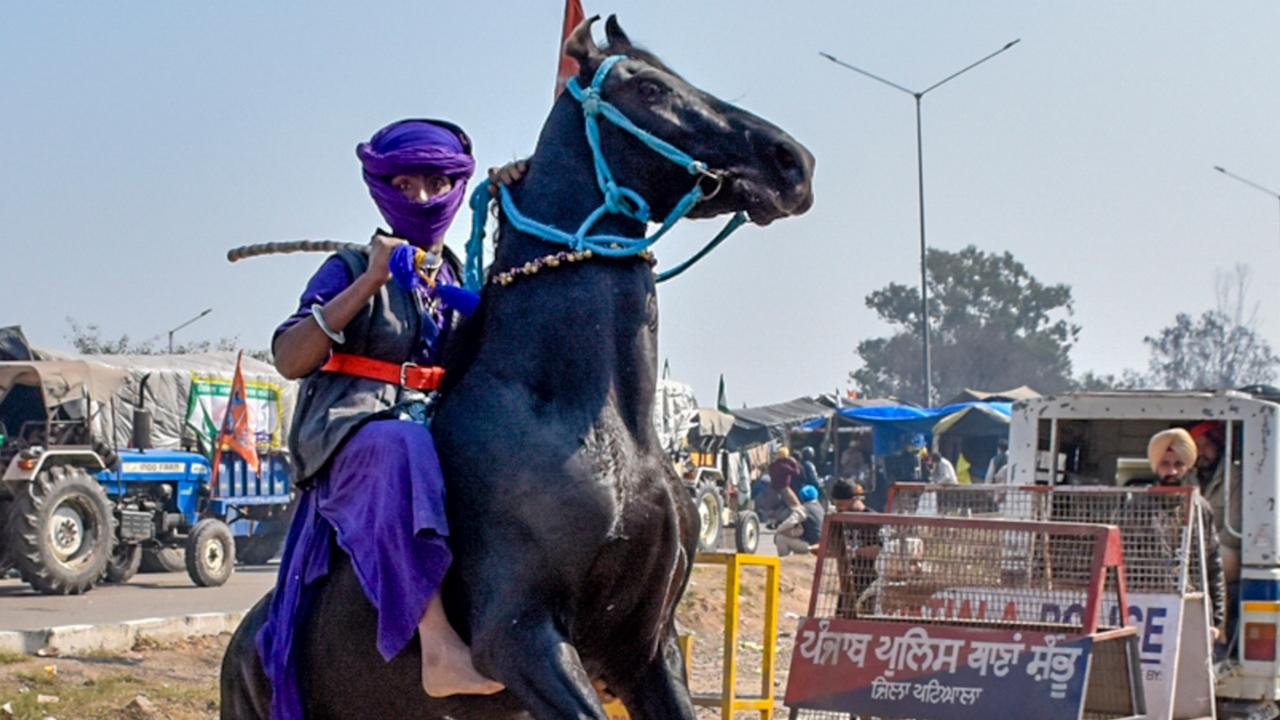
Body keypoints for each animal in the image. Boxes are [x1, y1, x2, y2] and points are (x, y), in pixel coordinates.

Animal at [222, 16, 808, 717]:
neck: (595, 421)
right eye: (648, 88)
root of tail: (243, 646)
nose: (791, 162)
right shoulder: (522, 639)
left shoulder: (648, 647)